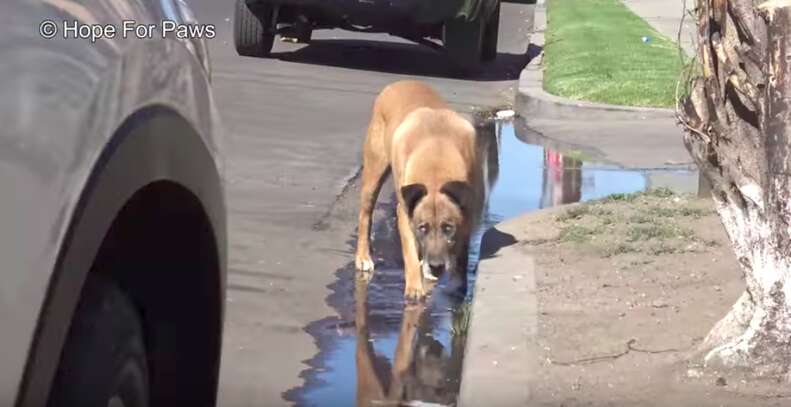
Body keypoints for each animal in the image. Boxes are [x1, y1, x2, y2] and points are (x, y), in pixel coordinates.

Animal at [358, 80, 482, 302]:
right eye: (422, 227)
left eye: (448, 228)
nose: (437, 266)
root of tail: (399, 82)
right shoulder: (405, 215)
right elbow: (409, 252)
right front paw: (415, 286)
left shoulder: (467, 214)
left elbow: (462, 254)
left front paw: (458, 285)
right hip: (374, 172)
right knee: (365, 215)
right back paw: (364, 256)